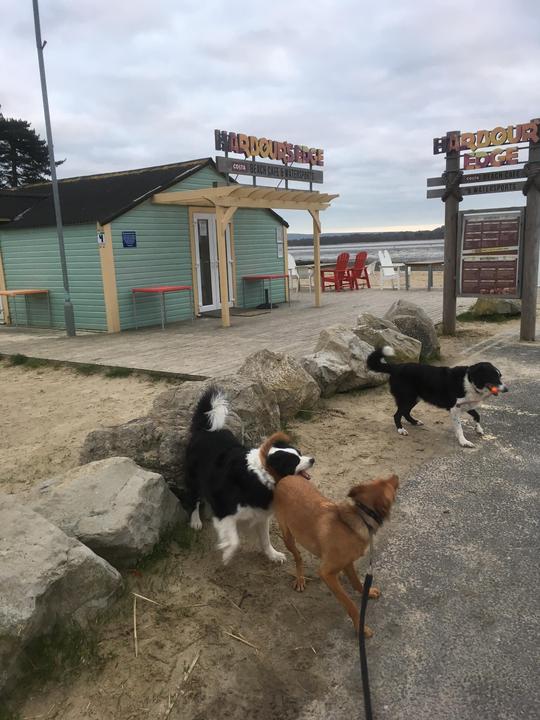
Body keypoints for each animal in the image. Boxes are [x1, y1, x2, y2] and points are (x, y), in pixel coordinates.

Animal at [185, 388, 314, 564]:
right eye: (294, 461)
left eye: (299, 454)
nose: (312, 459)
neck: (260, 479)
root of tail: (204, 430)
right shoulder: (224, 509)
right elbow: (234, 540)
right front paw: (227, 554)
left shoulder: (261, 514)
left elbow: (265, 539)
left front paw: (273, 555)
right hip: (194, 480)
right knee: (194, 499)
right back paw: (196, 521)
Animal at [272, 472, 398, 636]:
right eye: (390, 487)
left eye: (381, 480)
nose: (395, 476)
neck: (360, 518)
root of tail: (286, 477)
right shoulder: (326, 573)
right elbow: (350, 604)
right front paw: (360, 628)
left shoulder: (348, 563)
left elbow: (357, 582)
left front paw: (367, 592)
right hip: (287, 536)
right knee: (298, 556)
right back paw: (300, 578)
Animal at [368, 346, 506, 448]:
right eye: (493, 377)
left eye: (500, 376)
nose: (506, 389)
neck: (469, 381)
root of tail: (396, 367)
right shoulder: (455, 408)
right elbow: (460, 428)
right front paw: (464, 441)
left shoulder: (466, 405)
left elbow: (477, 416)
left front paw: (478, 429)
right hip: (408, 398)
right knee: (397, 415)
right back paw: (401, 430)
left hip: (415, 398)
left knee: (405, 413)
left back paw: (414, 422)